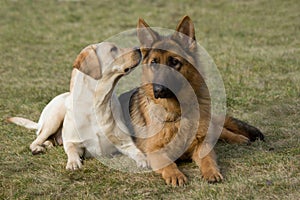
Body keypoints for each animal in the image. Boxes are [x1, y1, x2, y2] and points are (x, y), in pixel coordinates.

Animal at [118, 15, 264, 186]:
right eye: (154, 62)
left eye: (174, 62)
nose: (158, 90)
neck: (179, 113)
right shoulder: (155, 152)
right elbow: (169, 164)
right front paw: (176, 175)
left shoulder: (202, 144)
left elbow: (207, 159)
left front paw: (211, 172)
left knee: (220, 130)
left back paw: (240, 138)